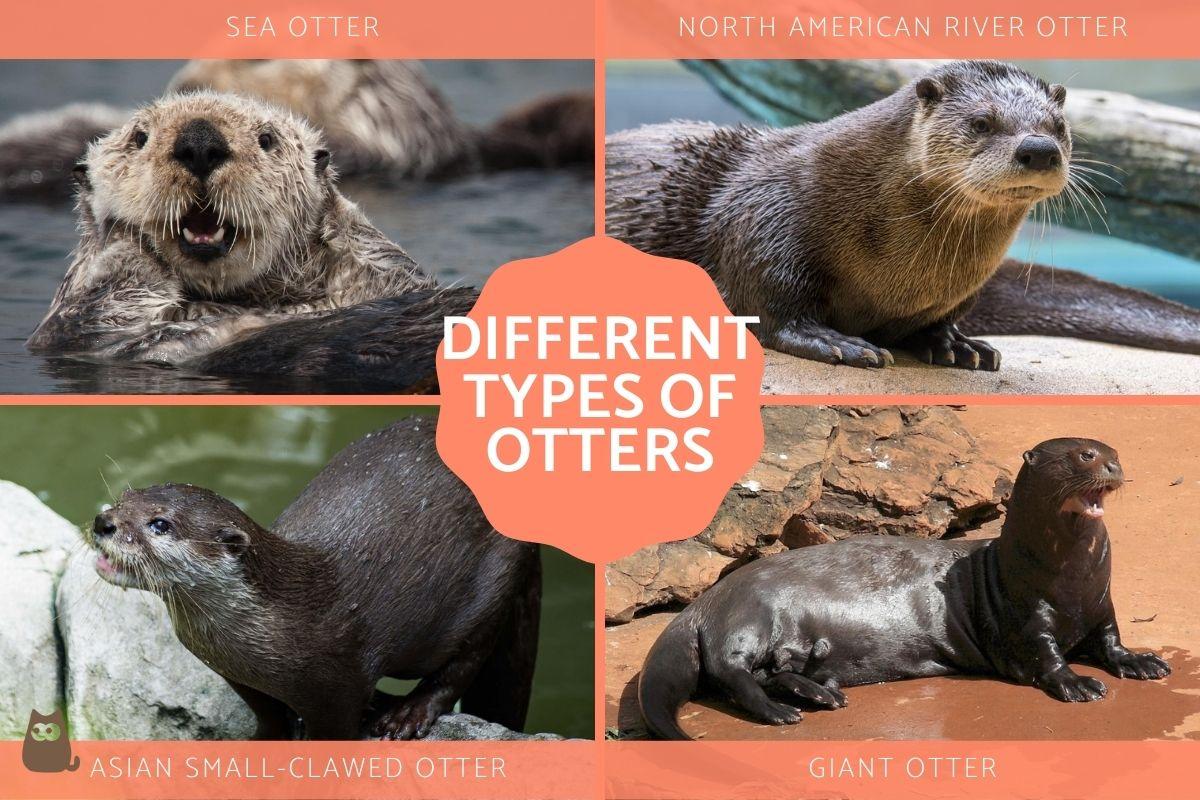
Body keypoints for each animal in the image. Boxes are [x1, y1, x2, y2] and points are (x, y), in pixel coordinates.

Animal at [82, 419, 541, 740]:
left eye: (160, 524)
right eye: (124, 498)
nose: (103, 522)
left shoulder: (339, 683)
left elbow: (335, 728)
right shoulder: (234, 673)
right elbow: (266, 713)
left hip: (492, 583)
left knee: (462, 664)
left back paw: (406, 715)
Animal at [607, 59, 1200, 368]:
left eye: (1058, 125)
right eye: (982, 122)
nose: (1039, 149)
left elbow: (939, 320)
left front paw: (956, 346)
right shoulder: (768, 216)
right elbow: (768, 303)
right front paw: (836, 342)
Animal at [637, 437, 1172, 740]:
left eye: (1115, 454)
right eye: (1086, 455)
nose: (1114, 468)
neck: (1068, 581)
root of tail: (704, 603)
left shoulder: (1101, 604)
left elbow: (1112, 639)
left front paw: (1142, 661)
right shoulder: (1024, 617)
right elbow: (1044, 655)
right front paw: (1077, 682)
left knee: (768, 672)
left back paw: (819, 694)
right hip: (752, 613)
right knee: (732, 674)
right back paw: (782, 712)